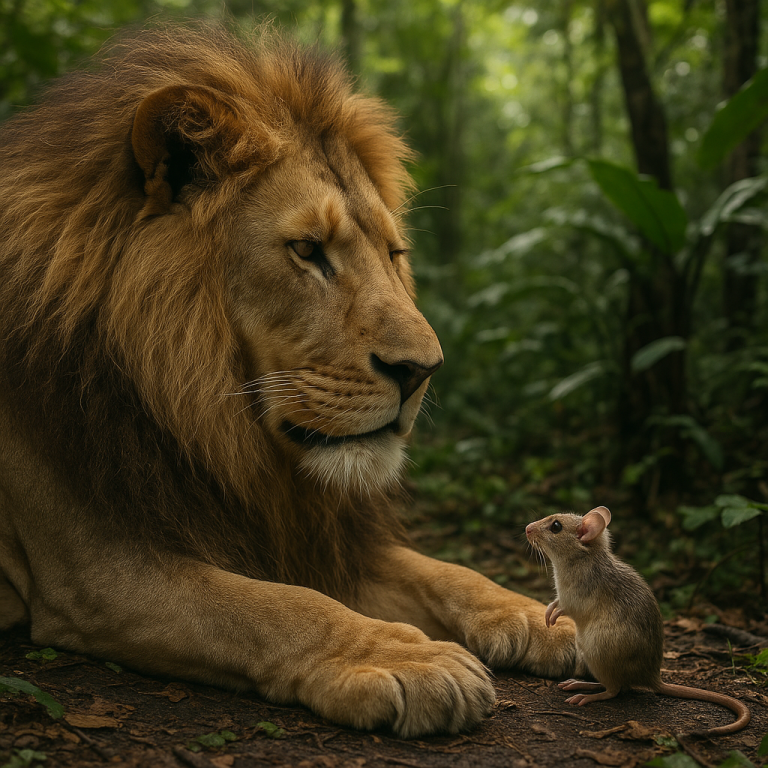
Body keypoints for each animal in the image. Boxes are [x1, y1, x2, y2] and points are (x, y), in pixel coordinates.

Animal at [0, 24, 578, 737]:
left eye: (393, 253)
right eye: (308, 250)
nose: (423, 370)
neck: (207, 424)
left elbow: (444, 571)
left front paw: (541, 613)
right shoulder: (94, 570)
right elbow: (274, 607)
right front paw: (402, 657)